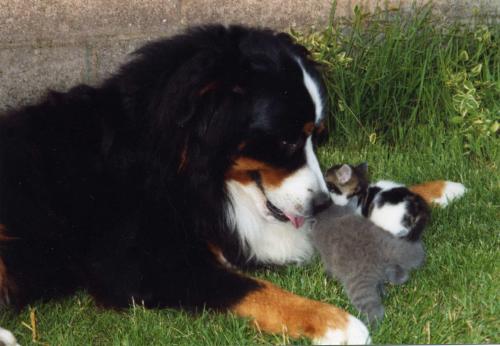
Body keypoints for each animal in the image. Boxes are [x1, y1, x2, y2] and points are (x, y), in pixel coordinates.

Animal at [0, 25, 372, 344]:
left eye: (317, 137)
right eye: (288, 141)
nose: (321, 204)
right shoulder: (135, 263)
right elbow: (251, 288)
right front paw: (337, 322)